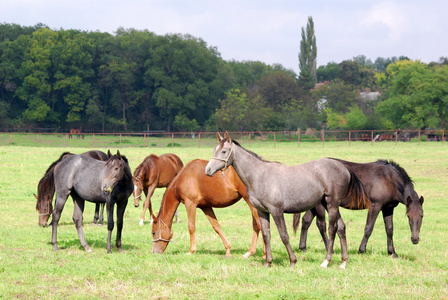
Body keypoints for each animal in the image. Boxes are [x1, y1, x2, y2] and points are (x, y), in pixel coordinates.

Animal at [205, 132, 370, 268]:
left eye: (224, 151)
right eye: (214, 150)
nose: (207, 170)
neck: (260, 176)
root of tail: (344, 167)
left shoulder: (277, 211)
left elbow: (284, 235)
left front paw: (292, 261)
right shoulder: (262, 211)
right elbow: (266, 235)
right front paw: (268, 262)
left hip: (332, 204)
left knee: (332, 229)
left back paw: (326, 261)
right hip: (328, 204)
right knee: (341, 228)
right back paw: (343, 262)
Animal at [294, 159, 424, 258]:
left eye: (422, 216)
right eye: (408, 216)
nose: (415, 239)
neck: (389, 179)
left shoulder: (388, 208)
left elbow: (389, 230)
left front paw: (392, 252)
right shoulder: (375, 206)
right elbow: (368, 228)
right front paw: (362, 250)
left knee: (306, 221)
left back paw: (302, 247)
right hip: (321, 205)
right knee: (321, 224)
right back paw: (329, 248)